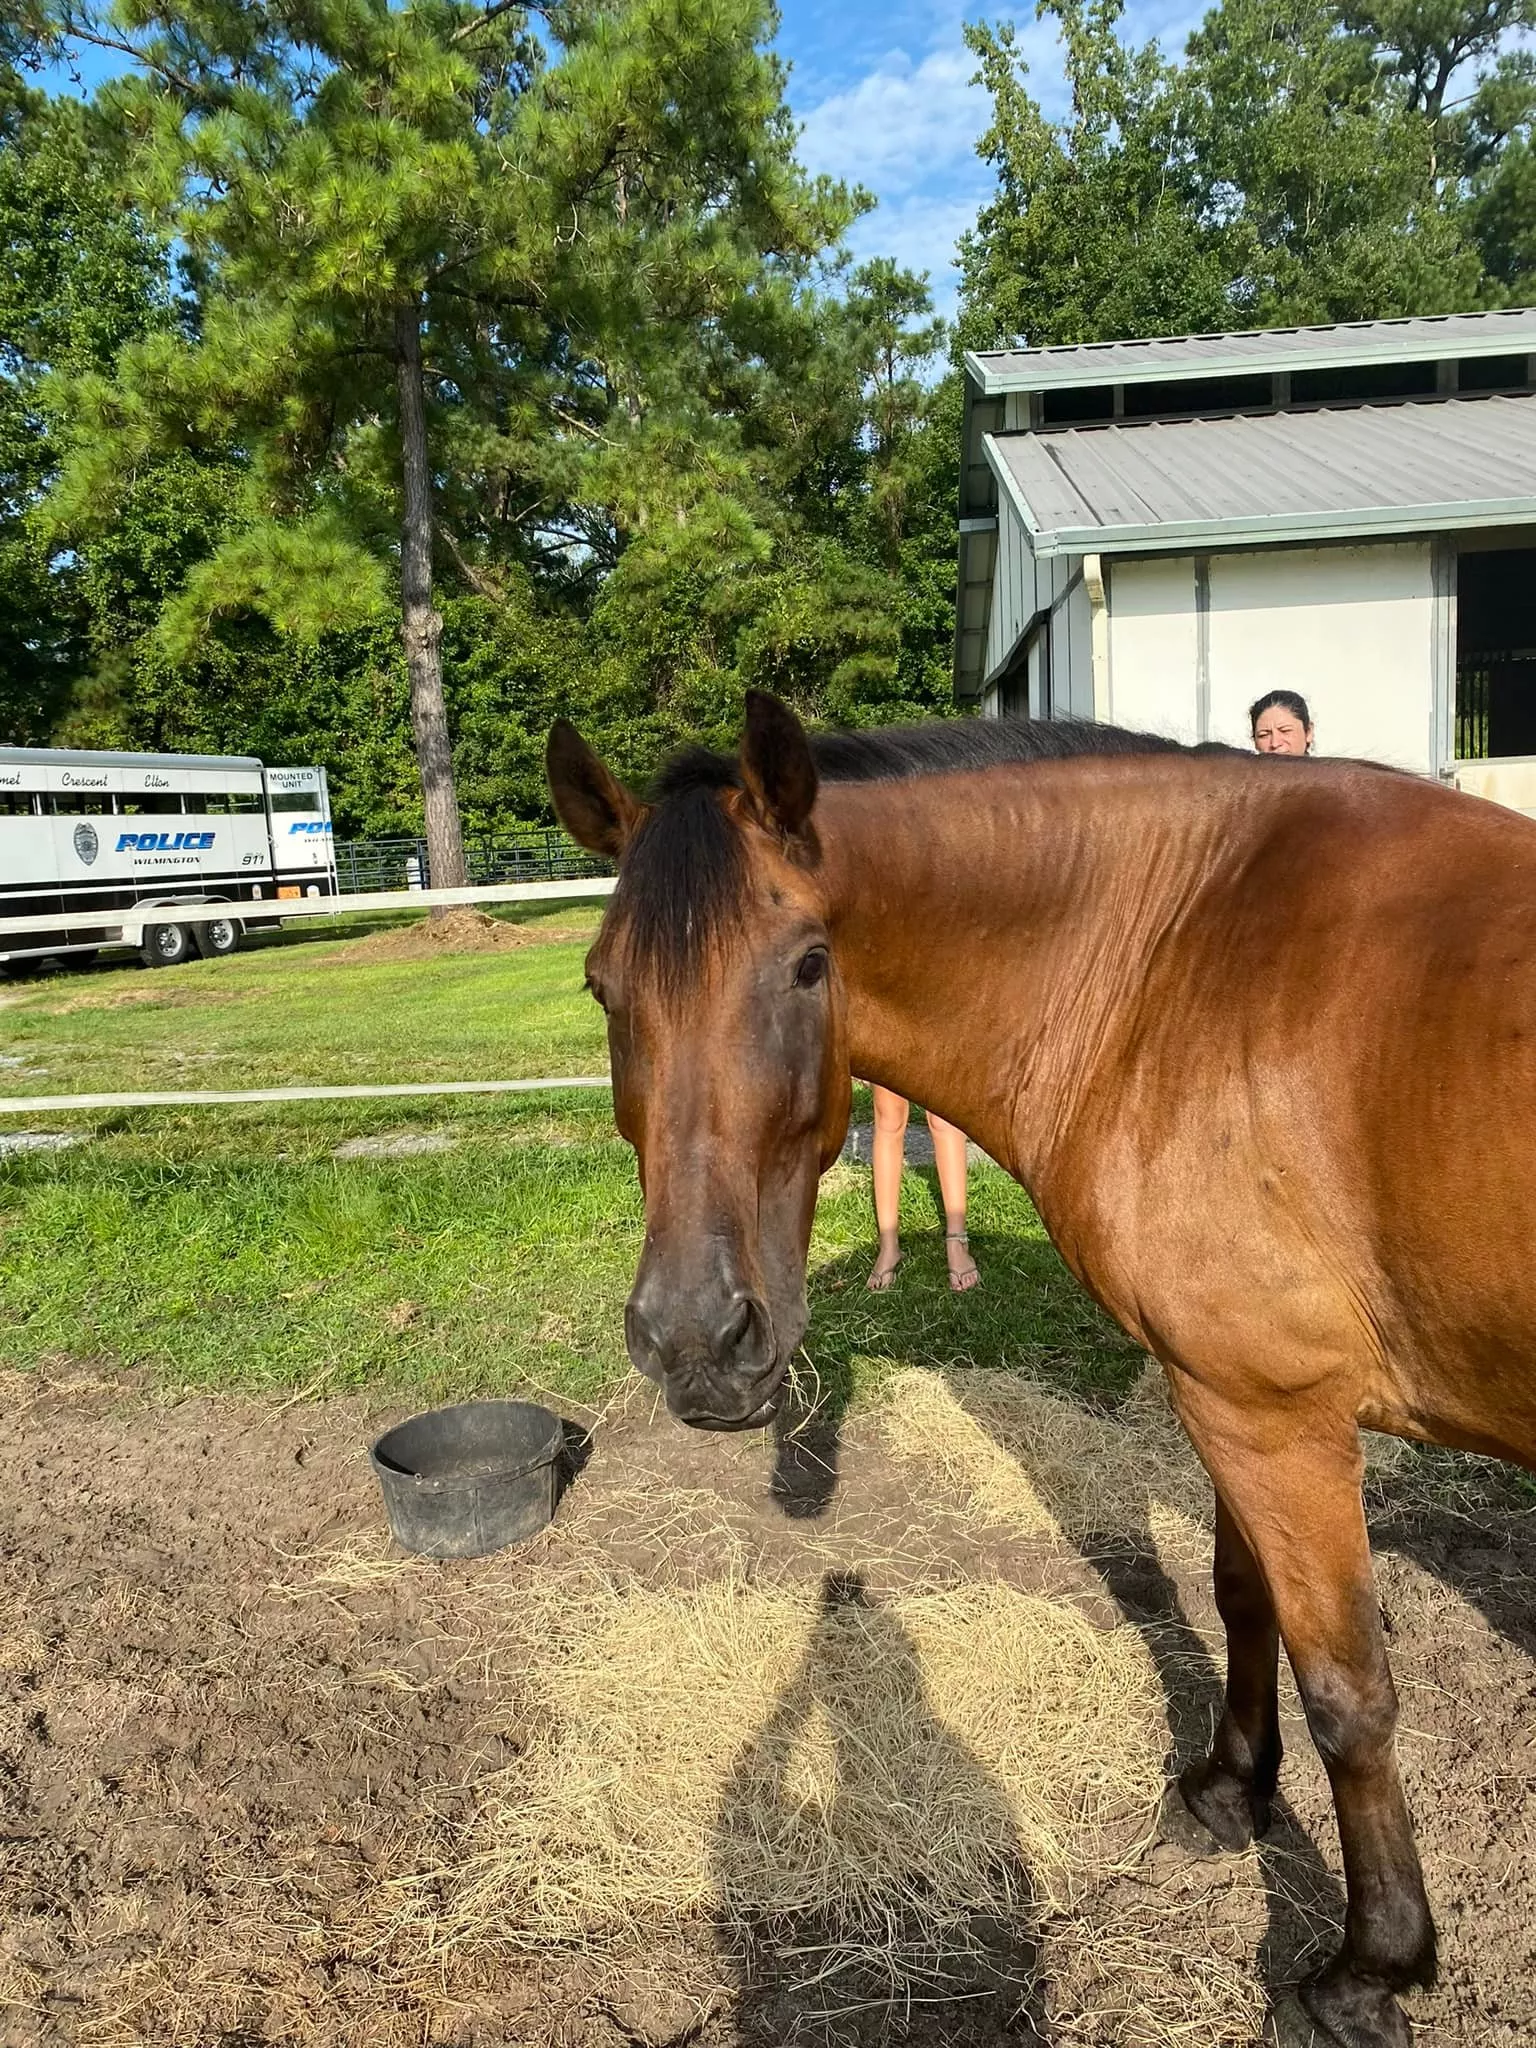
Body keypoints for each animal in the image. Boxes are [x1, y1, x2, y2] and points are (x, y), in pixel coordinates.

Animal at [546, 691, 1536, 2048]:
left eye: (808, 963)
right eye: (605, 988)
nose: (696, 1339)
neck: (1179, 952)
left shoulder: (1275, 1414)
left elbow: (1348, 1686)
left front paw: (1369, 1966)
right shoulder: (1228, 1396)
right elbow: (1243, 1598)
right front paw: (1228, 1789)